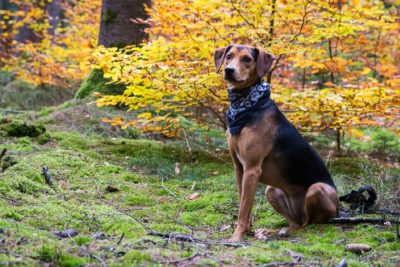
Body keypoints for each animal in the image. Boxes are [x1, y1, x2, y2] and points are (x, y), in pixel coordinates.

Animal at [214, 45, 340, 244]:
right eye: (229, 56)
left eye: (247, 59)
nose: (228, 70)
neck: (246, 105)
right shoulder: (239, 168)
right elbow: (243, 204)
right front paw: (247, 231)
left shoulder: (252, 169)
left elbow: (243, 208)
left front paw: (236, 236)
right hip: (271, 190)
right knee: (295, 224)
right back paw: (272, 232)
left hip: (318, 189)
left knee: (307, 224)